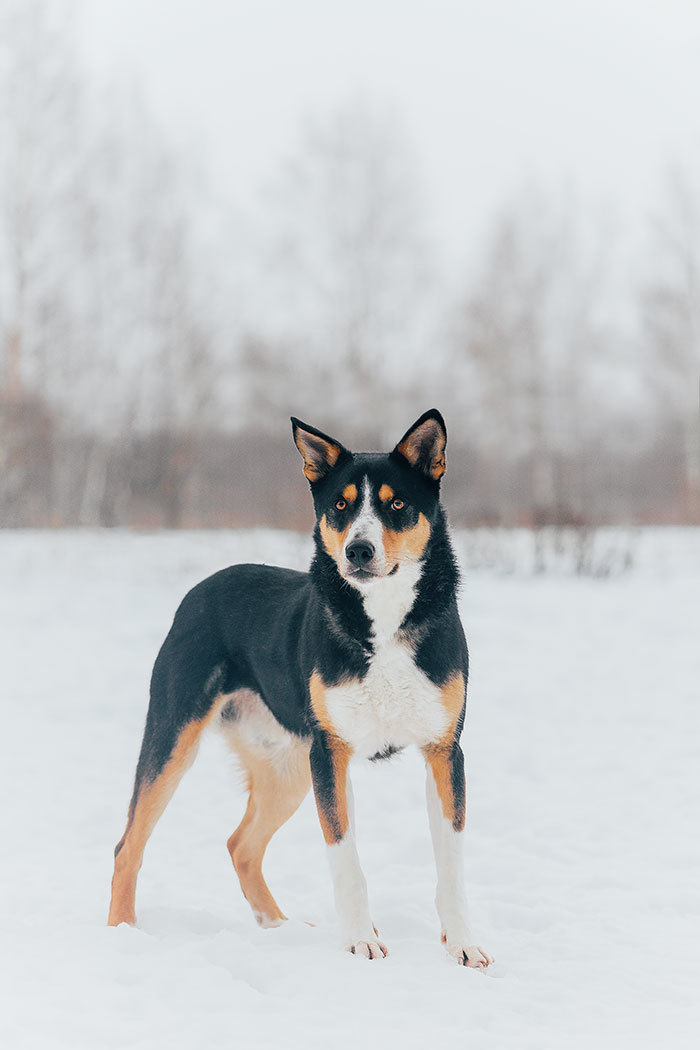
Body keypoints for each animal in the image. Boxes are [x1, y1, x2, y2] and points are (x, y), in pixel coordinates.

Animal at [108, 409, 493, 965]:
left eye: (397, 503)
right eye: (341, 505)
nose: (358, 549)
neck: (383, 620)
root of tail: (202, 587)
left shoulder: (444, 751)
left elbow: (451, 864)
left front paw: (462, 945)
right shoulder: (331, 754)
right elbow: (345, 858)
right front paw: (360, 939)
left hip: (286, 767)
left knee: (241, 846)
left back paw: (281, 928)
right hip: (176, 737)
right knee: (129, 845)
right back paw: (120, 934)